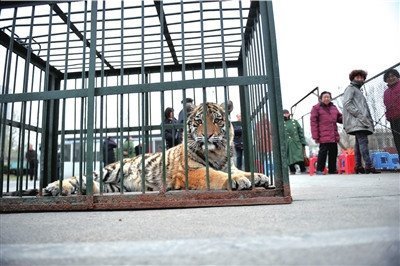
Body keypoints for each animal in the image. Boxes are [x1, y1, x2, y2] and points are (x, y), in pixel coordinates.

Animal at [45, 102, 274, 195]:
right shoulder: (190, 171)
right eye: (199, 121)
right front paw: (238, 181)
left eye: (217, 120)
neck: (216, 151)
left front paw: (259, 177)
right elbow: (216, 175)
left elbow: (240, 170)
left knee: (93, 186)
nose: (208, 134)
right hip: (109, 170)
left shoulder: (230, 165)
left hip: (115, 187)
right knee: (78, 177)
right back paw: (56, 187)